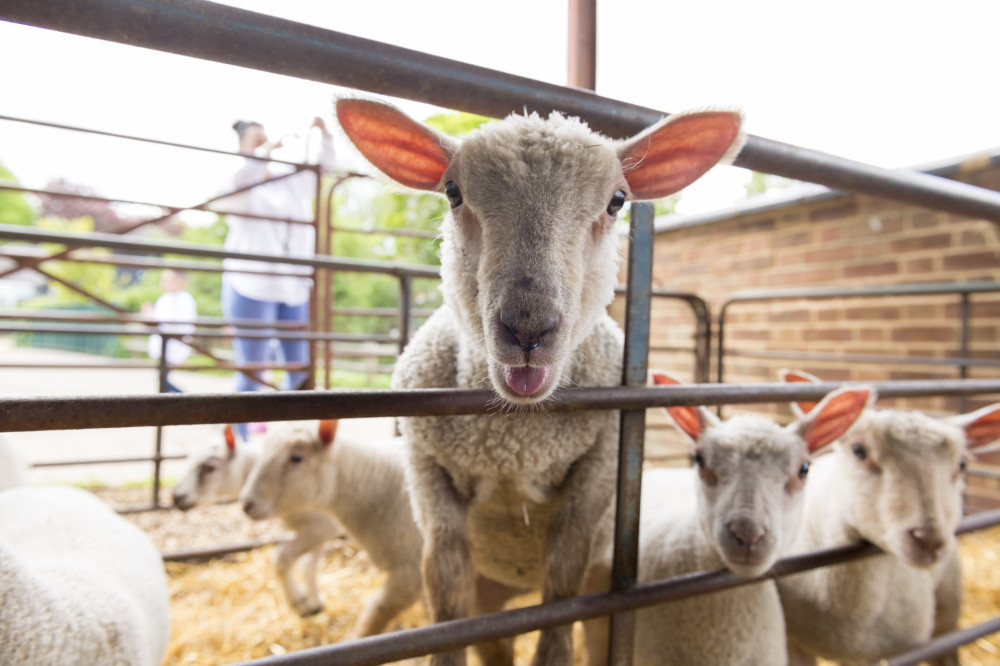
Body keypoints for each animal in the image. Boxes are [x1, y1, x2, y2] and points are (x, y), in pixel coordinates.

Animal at [172, 423, 341, 618]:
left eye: (209, 467)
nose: (176, 497)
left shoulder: (321, 527)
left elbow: (282, 559)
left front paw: (299, 603)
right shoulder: (318, 530)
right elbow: (308, 566)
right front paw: (314, 603)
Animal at [335, 96, 745, 666]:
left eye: (618, 201)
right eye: (452, 192)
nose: (528, 326)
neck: (512, 442)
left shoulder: (596, 472)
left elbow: (562, 581)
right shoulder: (426, 471)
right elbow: (444, 583)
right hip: (489, 594)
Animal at [776, 369, 1000, 666]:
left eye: (962, 464)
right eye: (858, 450)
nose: (929, 540)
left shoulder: (906, 649)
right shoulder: (794, 643)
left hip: (948, 603)